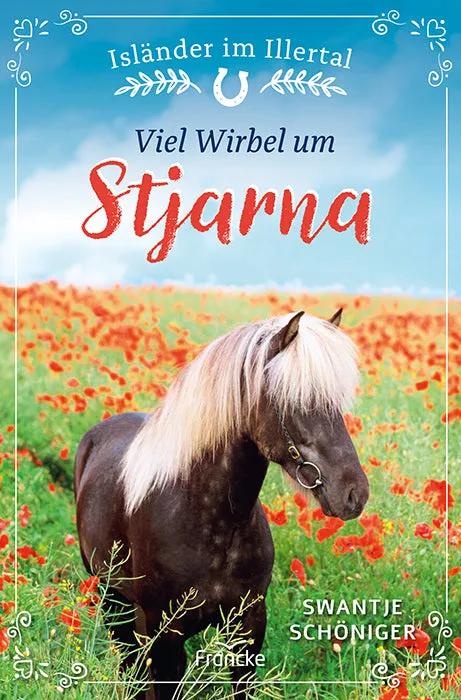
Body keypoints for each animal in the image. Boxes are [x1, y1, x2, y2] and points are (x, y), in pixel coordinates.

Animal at [74, 309, 369, 699]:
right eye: (292, 401)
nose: (354, 493)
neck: (214, 522)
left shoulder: (249, 626)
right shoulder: (163, 633)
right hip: (111, 597)